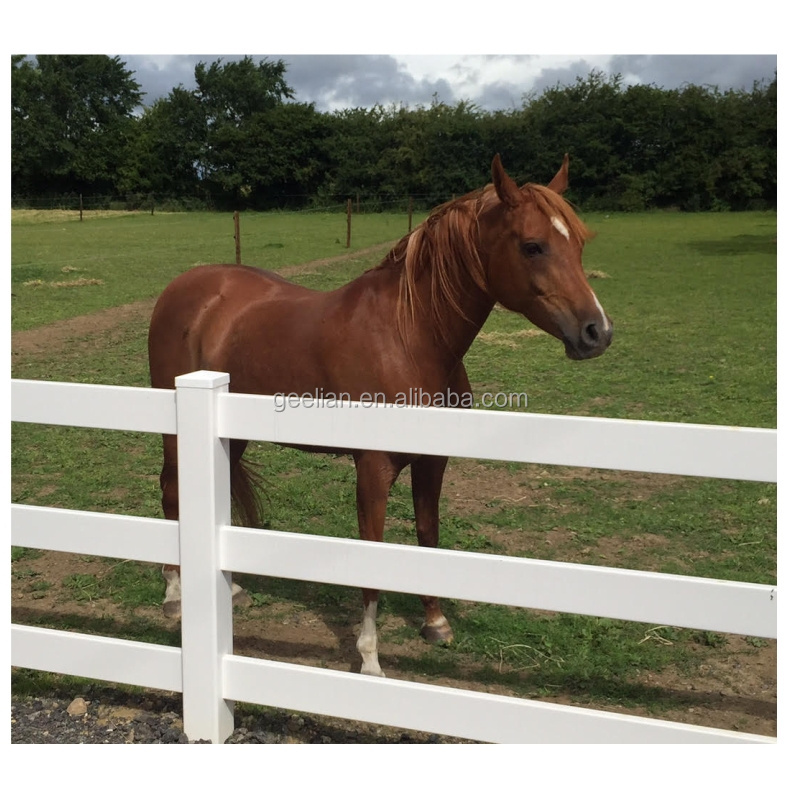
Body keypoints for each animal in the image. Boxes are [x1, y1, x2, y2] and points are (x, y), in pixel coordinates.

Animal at [150, 155, 612, 676]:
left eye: (577, 243)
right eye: (532, 246)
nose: (597, 332)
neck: (410, 336)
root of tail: (183, 288)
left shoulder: (433, 462)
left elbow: (428, 534)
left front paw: (435, 622)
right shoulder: (373, 468)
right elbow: (371, 555)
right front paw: (370, 657)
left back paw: (232, 589)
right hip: (173, 432)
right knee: (171, 492)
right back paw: (174, 594)